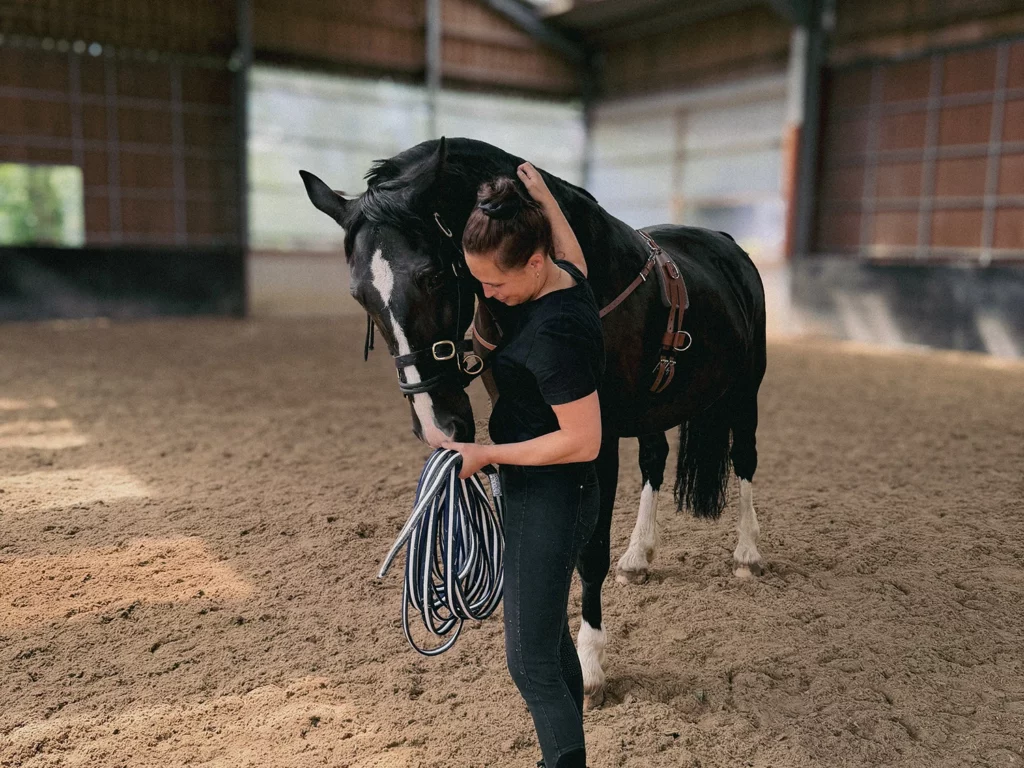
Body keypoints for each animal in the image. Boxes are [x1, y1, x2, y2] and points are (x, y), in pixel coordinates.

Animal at [301, 137, 767, 707]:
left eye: (432, 274)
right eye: (358, 295)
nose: (436, 425)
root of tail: (727, 244)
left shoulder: (597, 440)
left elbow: (588, 552)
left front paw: (589, 666)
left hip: (746, 390)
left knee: (745, 459)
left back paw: (747, 553)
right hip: (653, 410)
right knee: (655, 461)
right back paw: (639, 556)